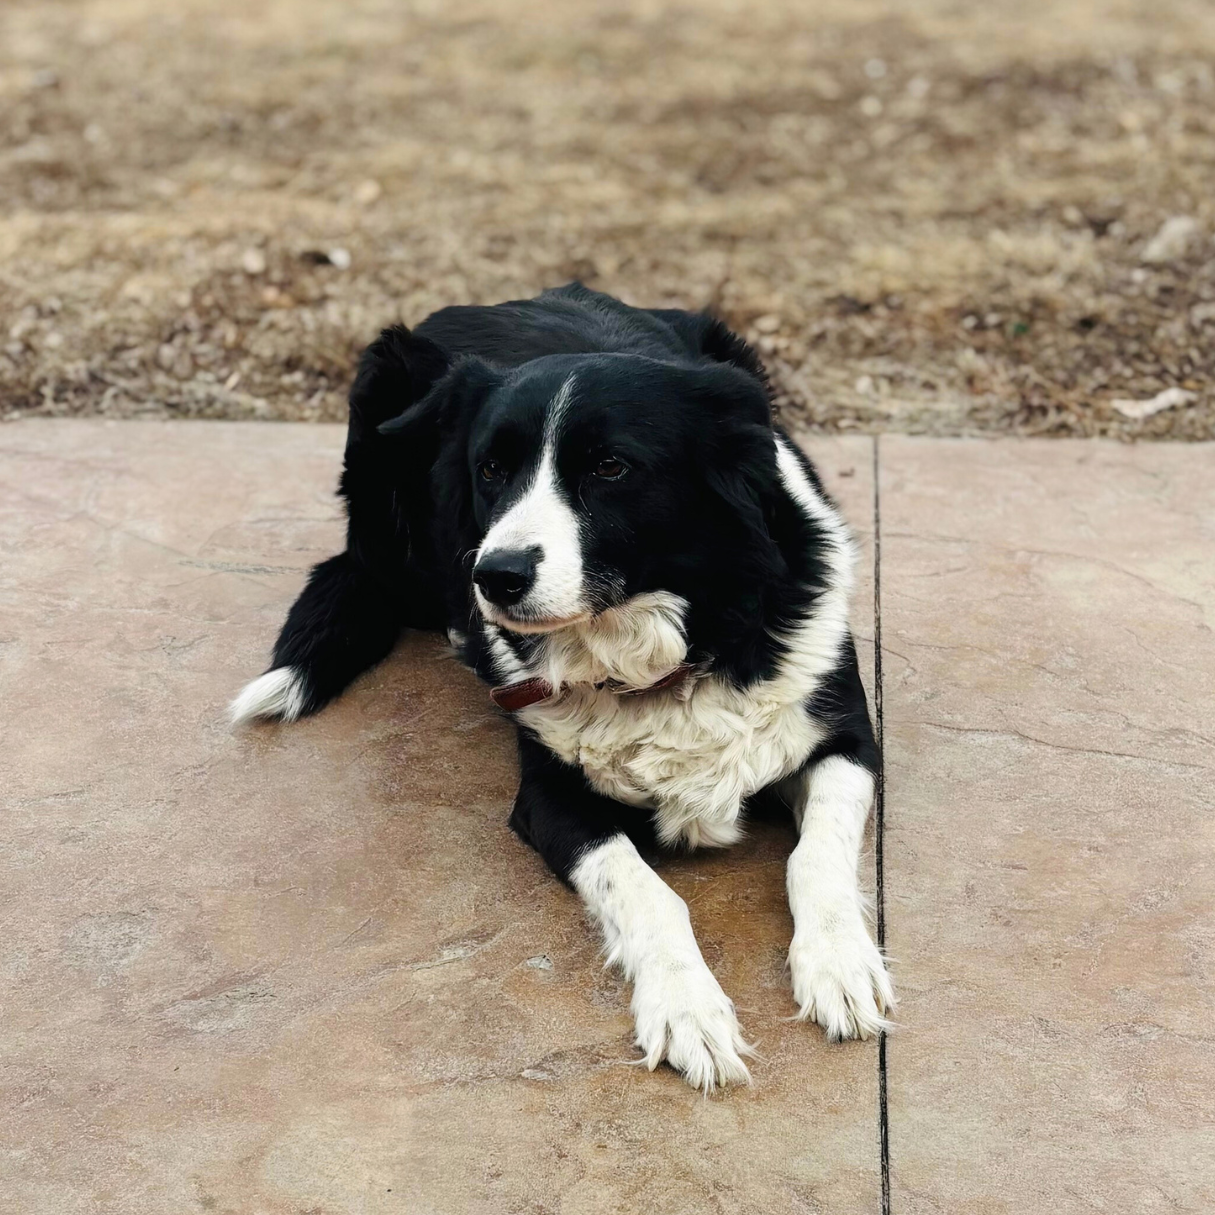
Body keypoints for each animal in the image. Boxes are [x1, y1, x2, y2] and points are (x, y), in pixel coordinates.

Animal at [231, 283, 894, 1091]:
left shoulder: (846, 740)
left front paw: (839, 965)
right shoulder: (551, 798)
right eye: (490, 469)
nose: (496, 577)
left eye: (610, 467)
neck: (677, 647)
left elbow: (816, 856)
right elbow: (646, 891)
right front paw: (686, 1009)